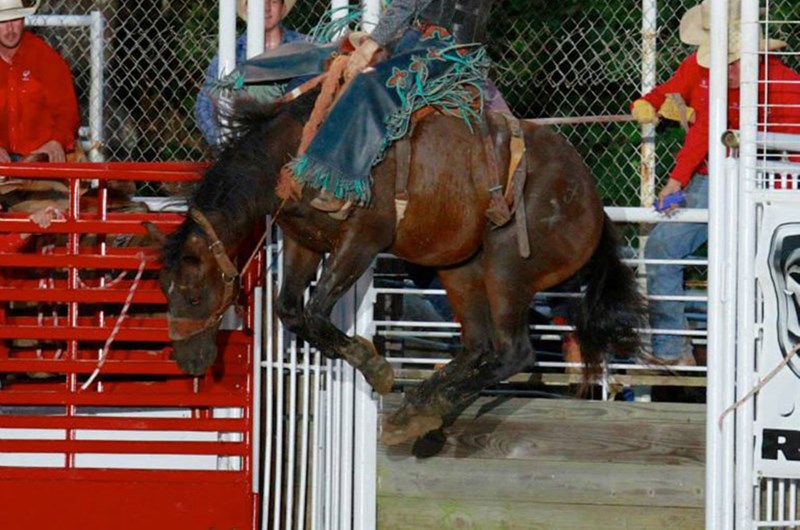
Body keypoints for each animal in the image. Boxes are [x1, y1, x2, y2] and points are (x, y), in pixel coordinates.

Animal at [155, 93, 644, 444]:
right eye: (165, 291)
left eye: (194, 294)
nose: (188, 360)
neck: (298, 148)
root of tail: (593, 202)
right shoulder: (303, 241)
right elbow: (292, 310)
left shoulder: (364, 238)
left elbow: (315, 311)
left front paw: (374, 366)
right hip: (460, 267)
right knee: (478, 346)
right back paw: (420, 408)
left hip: (507, 265)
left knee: (512, 352)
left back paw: (425, 408)